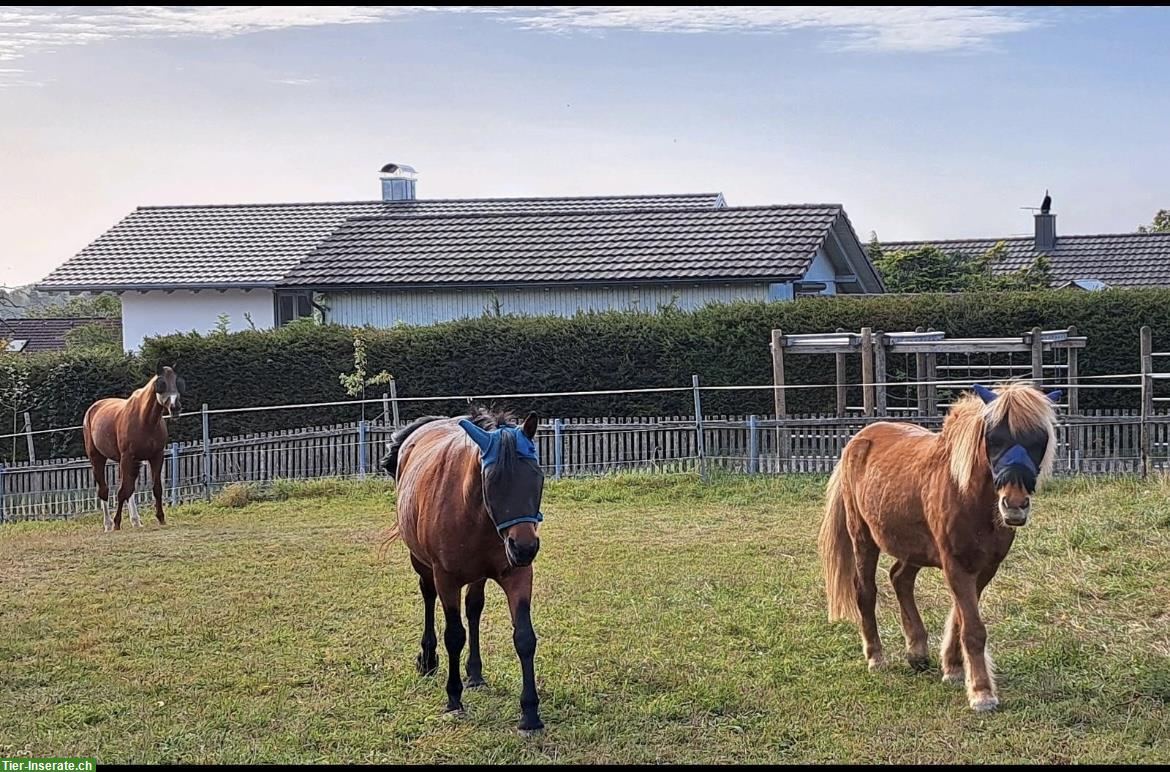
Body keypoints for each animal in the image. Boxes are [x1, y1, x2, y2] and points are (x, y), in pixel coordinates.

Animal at [82, 367, 184, 531]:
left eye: (177, 382)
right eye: (161, 384)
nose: (175, 407)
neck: (145, 419)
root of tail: (92, 409)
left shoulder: (156, 456)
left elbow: (156, 488)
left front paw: (161, 518)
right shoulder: (128, 457)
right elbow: (122, 491)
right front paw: (117, 523)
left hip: (128, 462)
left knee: (128, 489)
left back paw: (135, 520)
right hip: (98, 457)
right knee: (104, 490)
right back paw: (108, 524)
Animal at [383, 407, 547, 734]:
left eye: (537, 476)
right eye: (492, 481)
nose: (524, 548)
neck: (474, 512)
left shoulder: (518, 576)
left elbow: (524, 637)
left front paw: (530, 712)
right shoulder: (447, 580)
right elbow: (454, 635)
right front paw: (453, 698)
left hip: (479, 575)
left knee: (474, 608)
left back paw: (475, 673)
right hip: (421, 563)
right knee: (428, 596)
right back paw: (429, 659)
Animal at [823, 378, 1062, 711]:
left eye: (1040, 439)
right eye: (994, 438)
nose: (1014, 506)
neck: (967, 493)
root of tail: (858, 440)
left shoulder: (985, 568)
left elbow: (961, 619)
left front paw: (953, 668)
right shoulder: (955, 565)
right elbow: (972, 628)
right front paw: (981, 692)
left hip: (912, 548)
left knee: (900, 578)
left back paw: (917, 652)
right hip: (863, 538)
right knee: (866, 591)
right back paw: (876, 657)